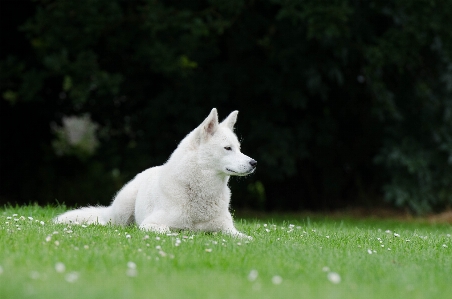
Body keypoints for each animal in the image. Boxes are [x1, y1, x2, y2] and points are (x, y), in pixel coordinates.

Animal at [54, 109, 256, 238]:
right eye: (227, 148)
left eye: (239, 148)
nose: (254, 163)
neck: (199, 191)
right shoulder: (151, 224)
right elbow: (169, 231)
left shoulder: (228, 230)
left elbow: (245, 238)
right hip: (121, 212)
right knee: (107, 221)